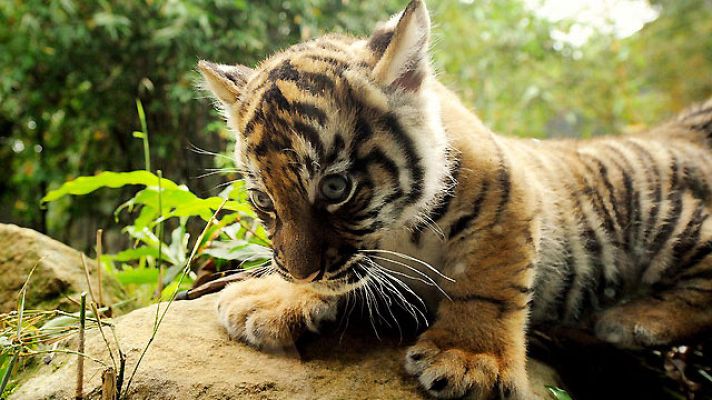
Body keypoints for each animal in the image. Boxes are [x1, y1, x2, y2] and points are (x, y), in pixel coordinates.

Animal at [197, 0, 712, 398]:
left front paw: (468, 359)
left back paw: (633, 318)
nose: (301, 272)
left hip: (670, 218)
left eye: (336, 187)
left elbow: (486, 281)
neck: (395, 233)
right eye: (262, 199)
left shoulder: (509, 200)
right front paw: (274, 296)